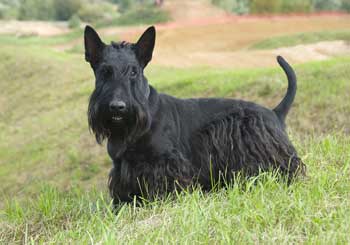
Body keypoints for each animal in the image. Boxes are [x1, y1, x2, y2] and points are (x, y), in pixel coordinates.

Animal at [83, 25, 304, 204]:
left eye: (133, 71)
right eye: (104, 71)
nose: (117, 107)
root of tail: (274, 113)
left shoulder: (167, 163)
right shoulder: (121, 167)